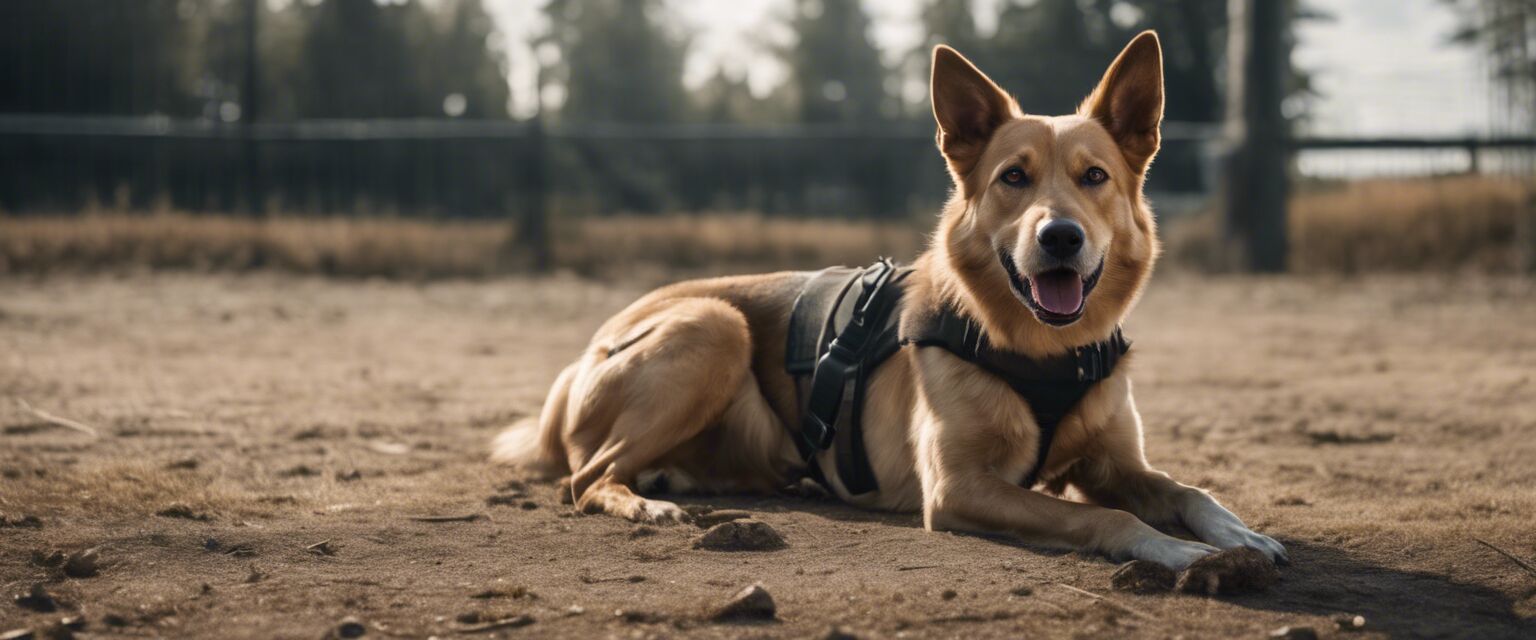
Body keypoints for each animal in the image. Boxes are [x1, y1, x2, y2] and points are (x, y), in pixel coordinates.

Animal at [491, 31, 1284, 567]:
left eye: (1095, 177)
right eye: (1013, 178)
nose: (1060, 237)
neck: (1044, 350)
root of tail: (585, 353)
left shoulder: (1114, 466)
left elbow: (1190, 492)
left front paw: (1238, 532)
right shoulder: (960, 487)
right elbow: (1108, 520)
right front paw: (1182, 553)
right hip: (713, 327)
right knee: (587, 478)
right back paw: (647, 505)